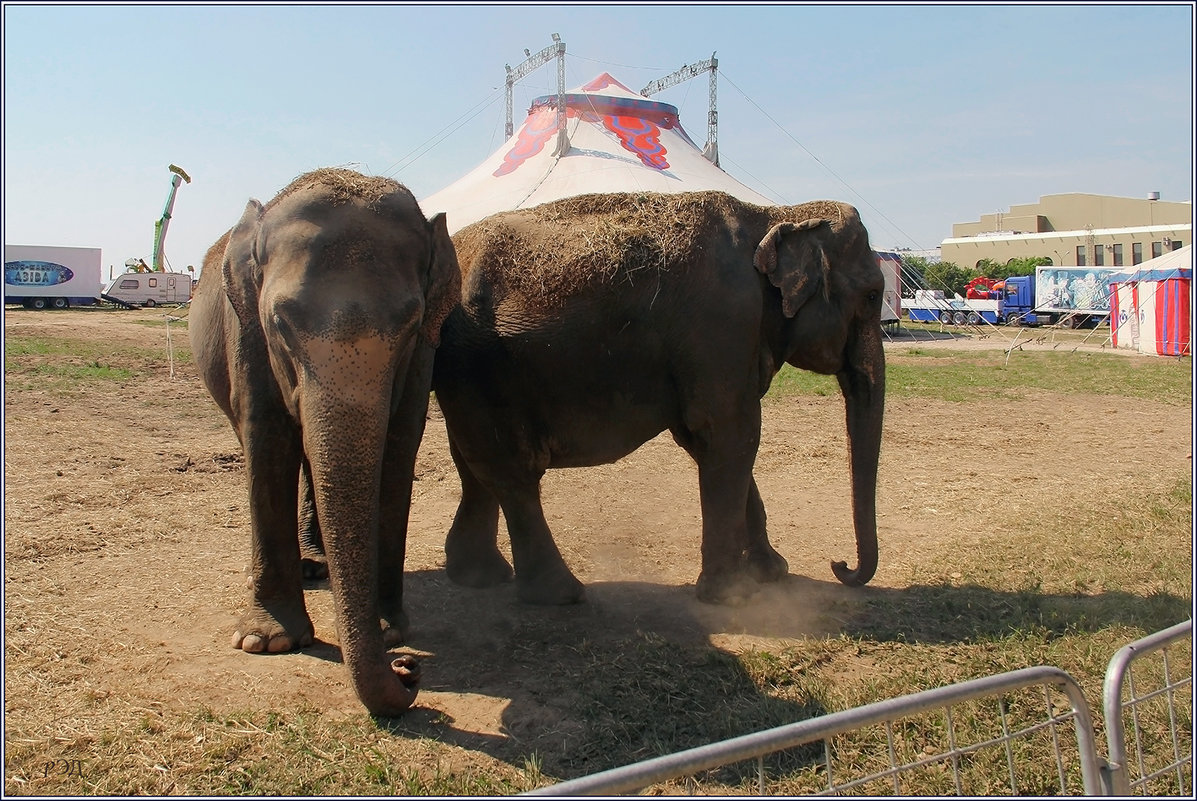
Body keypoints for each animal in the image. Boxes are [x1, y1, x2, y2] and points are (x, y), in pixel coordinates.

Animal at [189, 167, 459, 713]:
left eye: (410, 325)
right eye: (279, 324)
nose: (409, 669)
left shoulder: (424, 352)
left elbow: (399, 449)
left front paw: (390, 630)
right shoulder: (246, 337)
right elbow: (266, 443)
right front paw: (266, 641)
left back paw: (319, 567)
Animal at [435, 190, 885, 603]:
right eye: (872, 295)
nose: (840, 564)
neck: (776, 214)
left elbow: (705, 438)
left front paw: (772, 573)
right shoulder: (723, 322)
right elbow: (731, 431)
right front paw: (728, 596)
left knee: (474, 466)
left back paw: (480, 577)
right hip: (478, 364)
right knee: (511, 472)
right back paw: (562, 594)